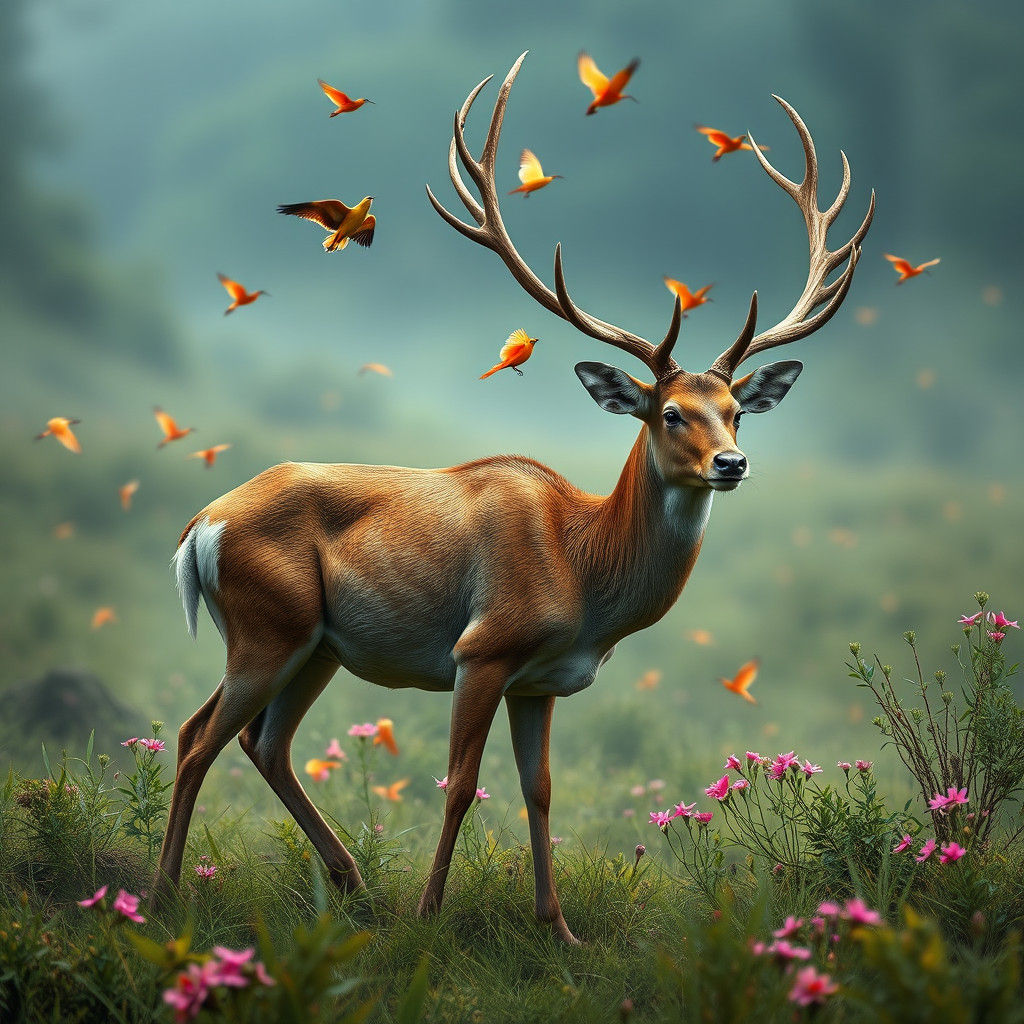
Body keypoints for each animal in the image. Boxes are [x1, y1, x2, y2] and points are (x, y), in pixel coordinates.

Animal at [155, 53, 873, 944]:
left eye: (737, 410)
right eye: (670, 412)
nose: (733, 463)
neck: (581, 571)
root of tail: (200, 525)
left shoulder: (539, 681)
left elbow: (540, 791)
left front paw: (558, 929)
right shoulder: (483, 648)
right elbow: (462, 784)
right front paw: (429, 914)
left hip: (313, 642)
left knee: (263, 742)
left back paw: (348, 878)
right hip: (267, 626)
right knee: (198, 739)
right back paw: (167, 892)